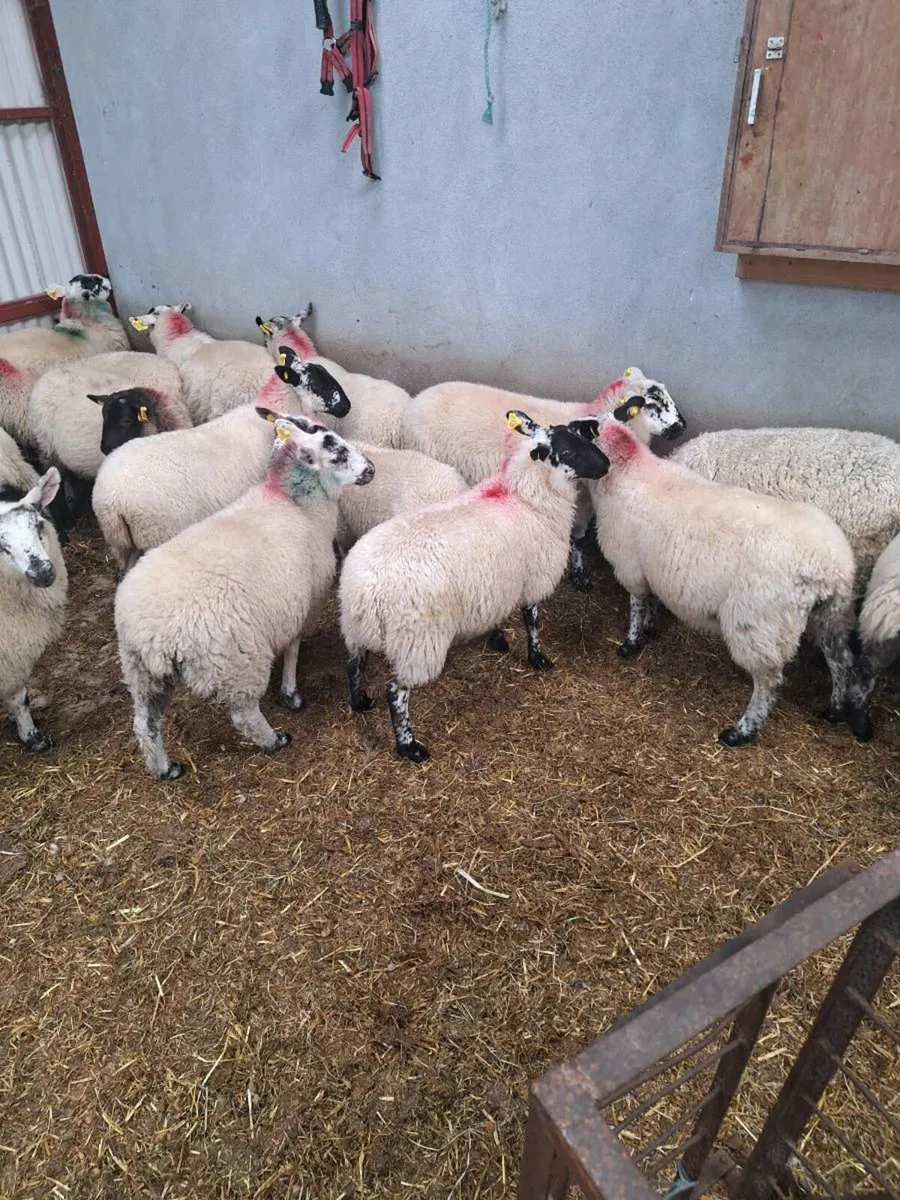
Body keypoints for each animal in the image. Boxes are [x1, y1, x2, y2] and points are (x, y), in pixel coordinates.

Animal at [92, 350, 351, 574]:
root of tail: (109, 501)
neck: (278, 408)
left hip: (123, 546)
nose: (346, 407)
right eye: (317, 384)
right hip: (156, 533)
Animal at [115, 416, 374, 780]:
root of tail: (150, 634)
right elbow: (292, 647)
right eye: (338, 453)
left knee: (145, 724)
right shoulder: (301, 603)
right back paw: (275, 739)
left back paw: (165, 769)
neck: (295, 504)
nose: (371, 469)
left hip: (142, 672)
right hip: (236, 663)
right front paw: (291, 694)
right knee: (243, 715)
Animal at [339, 410, 611, 762]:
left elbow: (500, 615)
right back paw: (409, 746)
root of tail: (363, 590)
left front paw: (497, 639)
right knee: (395, 692)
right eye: (568, 452)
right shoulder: (532, 578)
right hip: (416, 641)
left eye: (581, 437)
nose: (606, 464)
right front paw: (538, 659)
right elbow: (532, 622)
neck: (523, 495)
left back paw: (360, 702)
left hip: (356, 630)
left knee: (353, 664)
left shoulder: (498, 581)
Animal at [401, 368, 685, 588]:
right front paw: (578, 575)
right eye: (653, 401)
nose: (682, 426)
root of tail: (416, 401)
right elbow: (577, 539)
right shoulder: (580, 501)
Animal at [587, 419, 871, 747]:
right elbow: (653, 600)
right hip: (831, 615)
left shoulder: (631, 566)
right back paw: (834, 709)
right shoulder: (652, 567)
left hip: (759, 625)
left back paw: (741, 731)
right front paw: (651, 626)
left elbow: (636, 605)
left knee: (769, 683)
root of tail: (828, 566)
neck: (629, 470)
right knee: (841, 661)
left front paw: (630, 643)